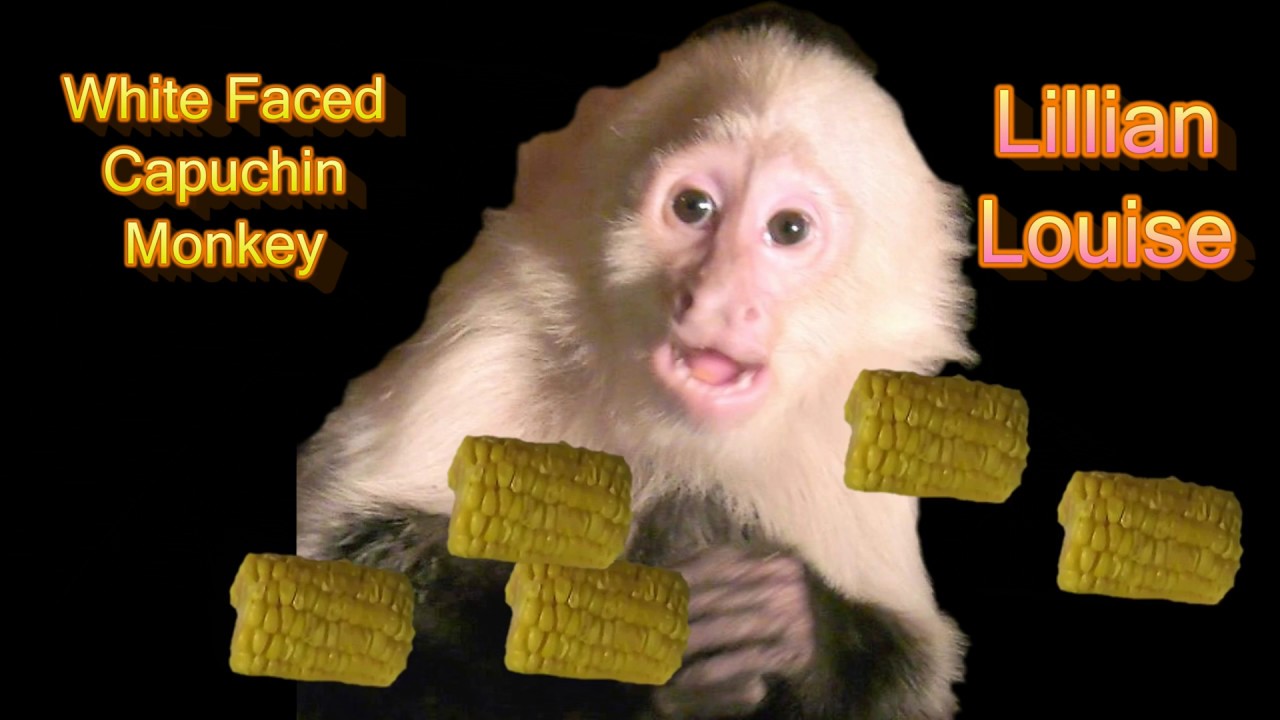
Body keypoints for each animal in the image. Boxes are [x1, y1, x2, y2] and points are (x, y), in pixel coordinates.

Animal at [296, 6, 977, 719]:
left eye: (788, 229)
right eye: (693, 207)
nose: (717, 296)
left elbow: (900, 677)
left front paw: (792, 624)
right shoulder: (490, 338)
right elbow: (347, 573)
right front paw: (617, 619)